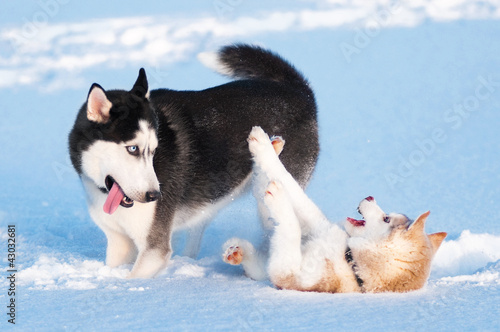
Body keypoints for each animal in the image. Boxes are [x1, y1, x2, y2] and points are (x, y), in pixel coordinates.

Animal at [68, 44, 318, 278]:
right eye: (133, 148)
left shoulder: (154, 248)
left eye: (154, 150)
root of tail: (298, 90)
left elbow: (134, 277)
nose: (154, 196)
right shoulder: (119, 243)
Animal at [223, 127, 446, 294]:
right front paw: (237, 251)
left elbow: (291, 202)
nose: (370, 196)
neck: (351, 263)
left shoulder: (287, 273)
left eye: (386, 219)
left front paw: (277, 189)